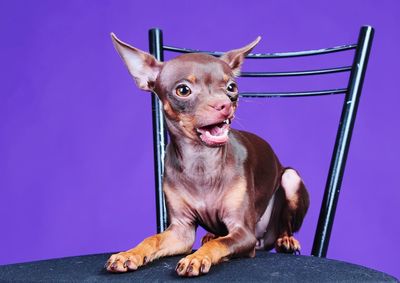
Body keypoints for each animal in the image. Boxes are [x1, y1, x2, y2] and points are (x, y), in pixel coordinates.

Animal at [105, 32, 310, 278]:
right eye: (183, 90)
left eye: (232, 87)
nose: (225, 104)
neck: (201, 161)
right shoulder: (181, 231)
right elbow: (152, 239)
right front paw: (129, 253)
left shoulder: (243, 232)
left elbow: (220, 244)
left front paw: (196, 258)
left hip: (290, 179)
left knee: (283, 224)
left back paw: (286, 239)